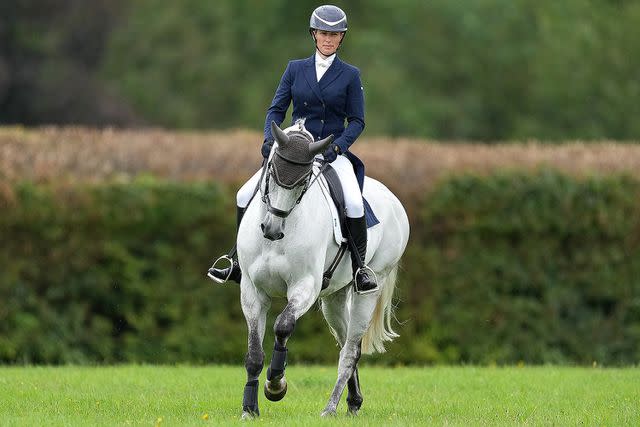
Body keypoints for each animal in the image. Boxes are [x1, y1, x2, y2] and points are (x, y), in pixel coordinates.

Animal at [236, 122, 410, 420]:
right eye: (271, 172)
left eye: (303, 183)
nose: (271, 229)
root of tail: (392, 199)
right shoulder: (252, 290)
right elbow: (253, 353)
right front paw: (249, 408)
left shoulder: (304, 286)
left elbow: (283, 325)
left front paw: (276, 383)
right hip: (334, 299)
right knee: (345, 343)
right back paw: (353, 401)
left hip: (368, 290)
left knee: (350, 351)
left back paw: (330, 408)